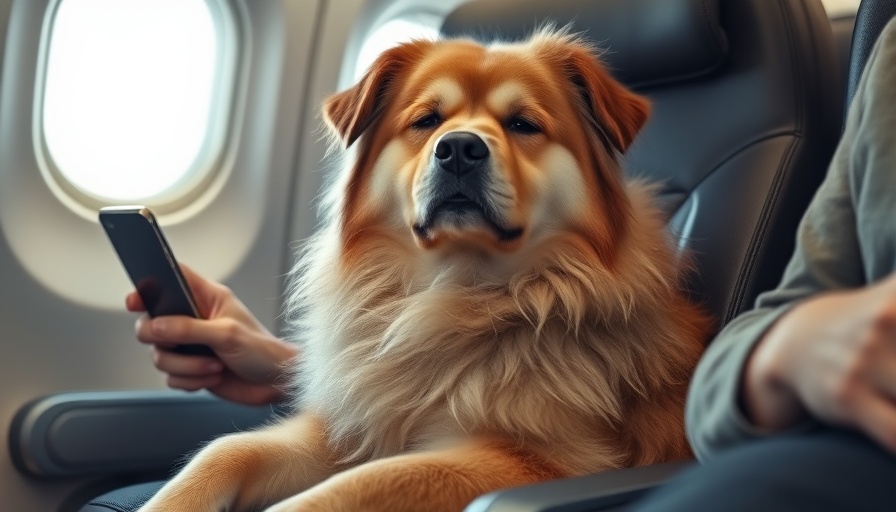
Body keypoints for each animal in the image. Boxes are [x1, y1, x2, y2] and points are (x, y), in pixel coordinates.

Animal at [140, 28, 712, 512]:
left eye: (523, 124)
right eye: (427, 121)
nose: (459, 148)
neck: (456, 297)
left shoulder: (542, 459)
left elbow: (367, 483)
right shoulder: (353, 426)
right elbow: (225, 450)